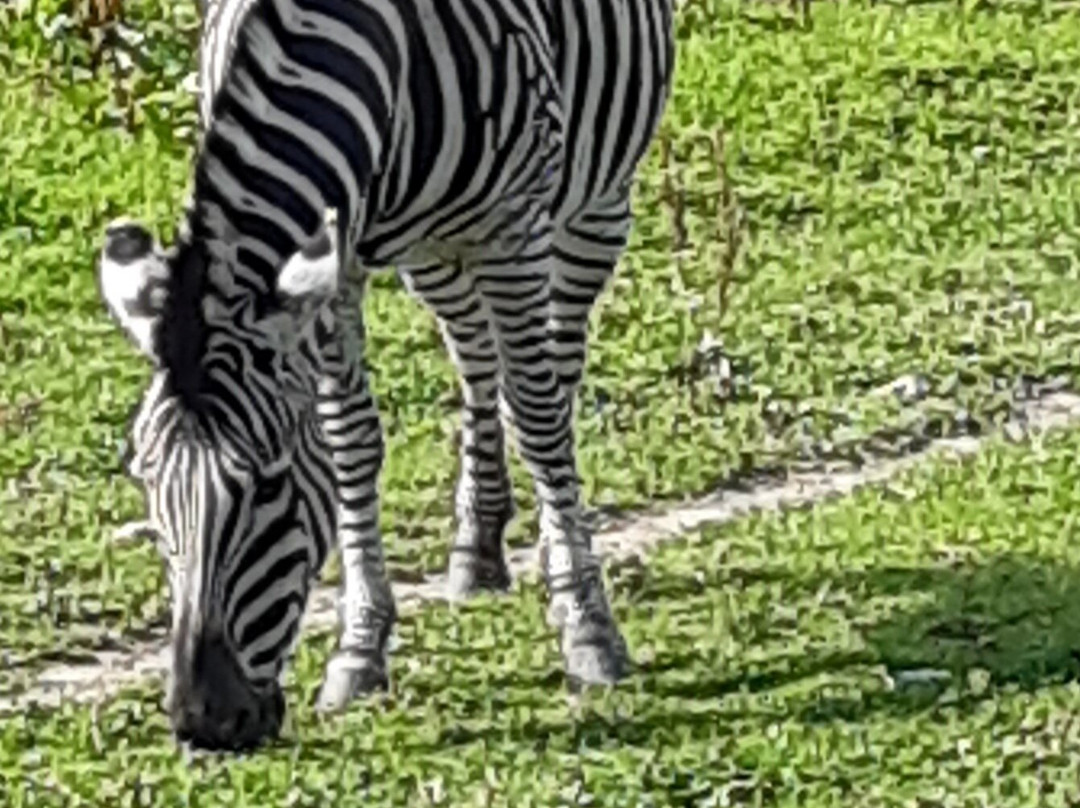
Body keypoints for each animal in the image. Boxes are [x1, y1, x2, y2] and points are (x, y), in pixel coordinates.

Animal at [101, 0, 673, 751]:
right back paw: (476, 546)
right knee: (475, 355)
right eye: (147, 481)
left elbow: (539, 418)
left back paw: (554, 552)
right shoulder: (333, 263)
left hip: (594, 204)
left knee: (551, 373)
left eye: (267, 487)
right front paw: (360, 647)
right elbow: (349, 443)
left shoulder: (511, 227)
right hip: (432, 253)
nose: (204, 723)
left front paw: (588, 626)